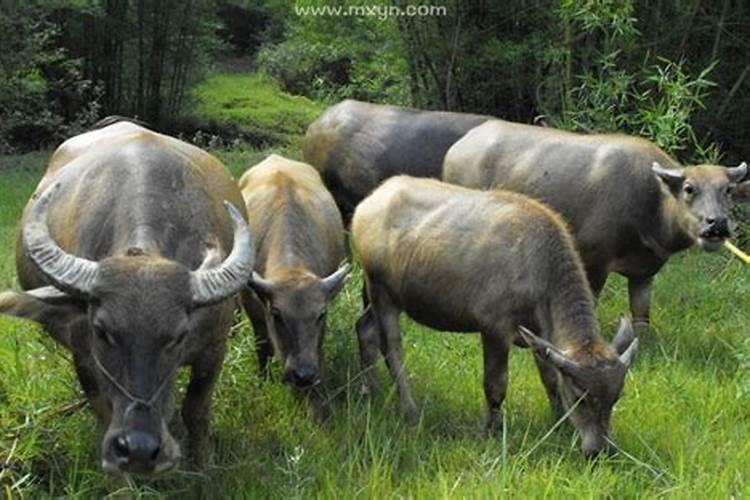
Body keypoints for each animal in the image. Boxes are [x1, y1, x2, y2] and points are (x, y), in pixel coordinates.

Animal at [0, 121, 256, 476]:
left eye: (178, 336)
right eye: (102, 331)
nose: (139, 448)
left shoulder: (214, 347)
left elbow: (196, 410)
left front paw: (203, 467)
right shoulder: (85, 357)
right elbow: (105, 414)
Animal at [241, 153, 352, 422]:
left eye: (321, 314)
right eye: (277, 315)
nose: (303, 375)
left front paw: (316, 407)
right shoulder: (254, 310)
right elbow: (262, 344)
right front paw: (264, 380)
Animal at [352, 176, 640, 458]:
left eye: (616, 397)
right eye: (581, 397)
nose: (600, 450)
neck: (536, 266)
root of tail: (368, 204)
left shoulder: (540, 334)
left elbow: (550, 379)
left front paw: (560, 422)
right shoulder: (494, 329)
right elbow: (495, 384)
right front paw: (491, 429)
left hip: (376, 296)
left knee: (365, 329)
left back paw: (370, 391)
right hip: (381, 293)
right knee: (391, 349)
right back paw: (410, 411)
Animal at [444, 120, 748, 330]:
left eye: (727, 190)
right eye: (689, 188)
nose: (717, 224)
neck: (652, 203)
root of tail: (457, 147)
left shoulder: (644, 272)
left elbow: (641, 315)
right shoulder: (595, 260)